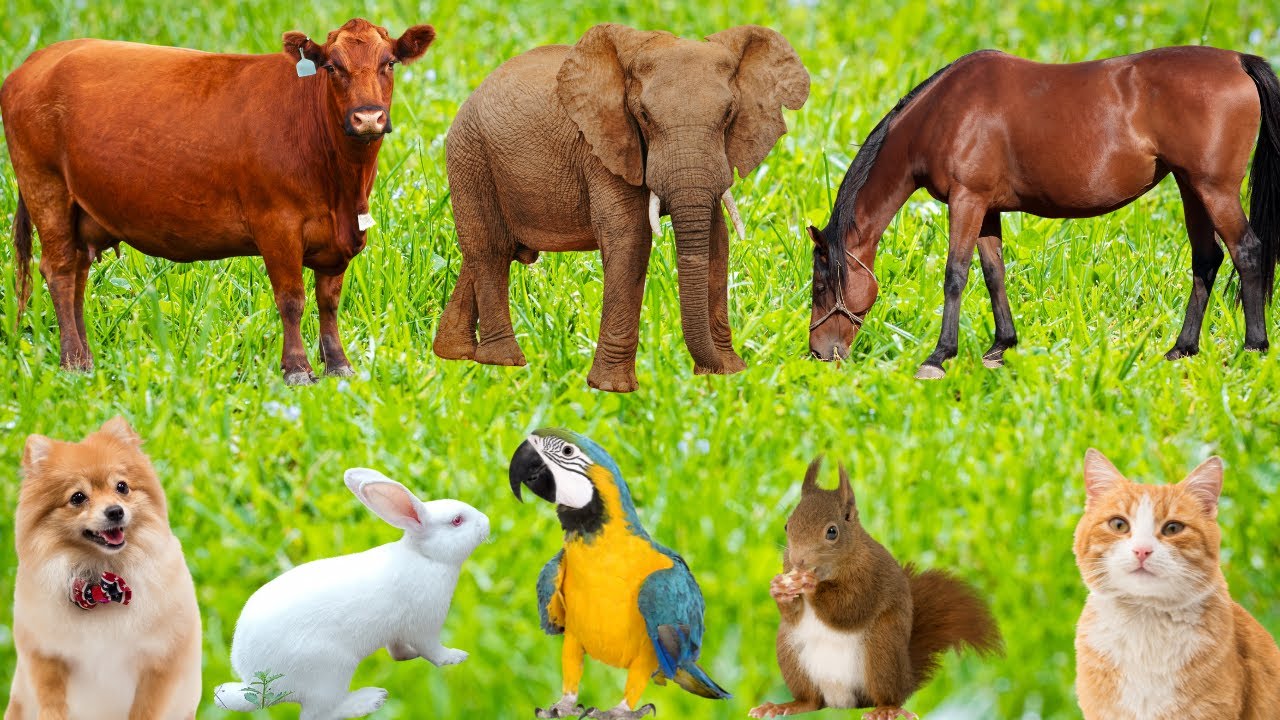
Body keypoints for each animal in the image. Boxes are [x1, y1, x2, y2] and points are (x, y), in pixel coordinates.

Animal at [807, 47, 1280, 378]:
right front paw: (1002, 347)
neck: (942, 113)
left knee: (1247, 251)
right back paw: (1182, 349)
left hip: (1214, 189)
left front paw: (939, 357)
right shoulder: (986, 208)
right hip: (1190, 186)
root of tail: (1238, 61)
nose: (818, 353)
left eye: (820, 286)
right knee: (1207, 259)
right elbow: (993, 274)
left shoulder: (967, 200)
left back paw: (1253, 348)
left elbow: (955, 275)